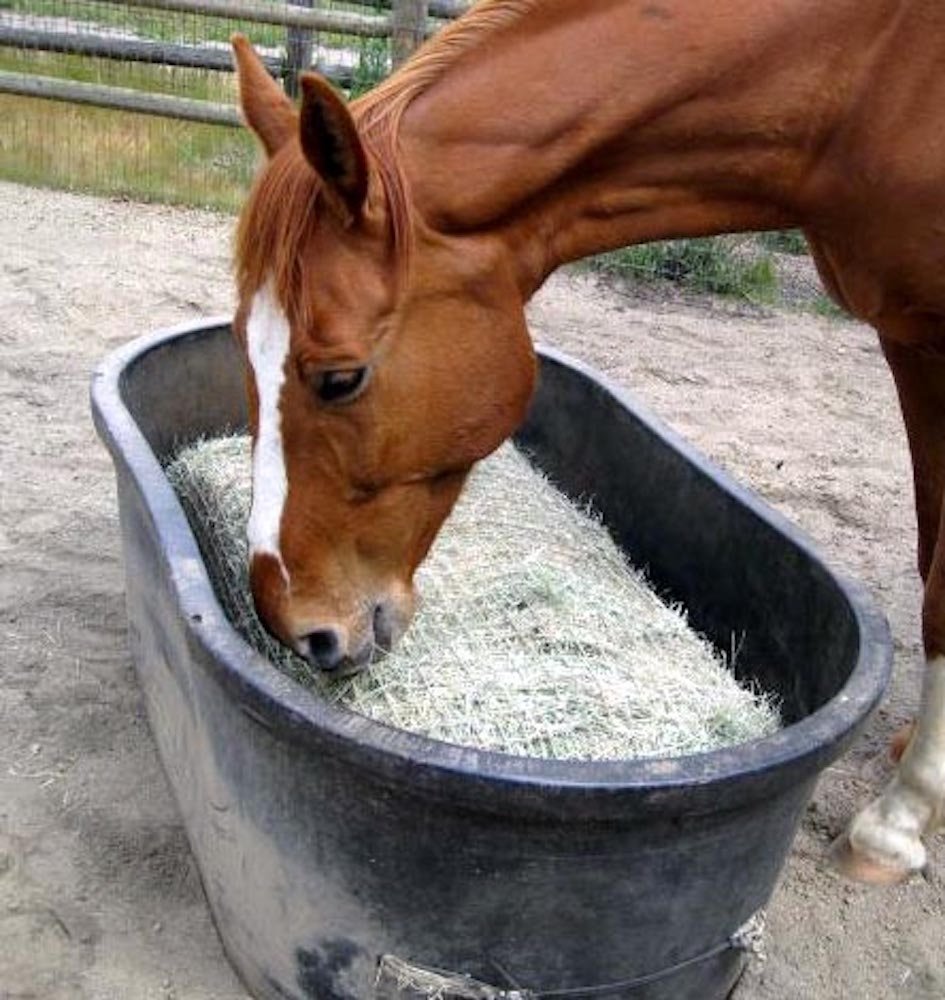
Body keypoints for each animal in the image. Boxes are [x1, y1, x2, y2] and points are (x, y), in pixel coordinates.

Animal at [229, 0, 945, 886]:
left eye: (339, 378)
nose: (292, 625)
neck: (870, 77)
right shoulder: (908, 342)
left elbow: (942, 591)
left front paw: (898, 823)